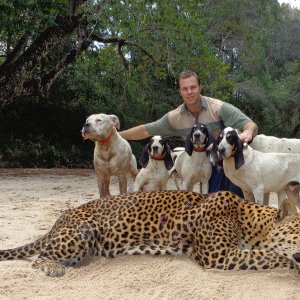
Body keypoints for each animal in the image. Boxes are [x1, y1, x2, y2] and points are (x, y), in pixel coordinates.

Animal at [0, 191, 298, 278]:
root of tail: (60, 218)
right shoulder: (220, 256)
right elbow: (272, 256)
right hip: (83, 231)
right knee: (39, 256)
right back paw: (53, 267)